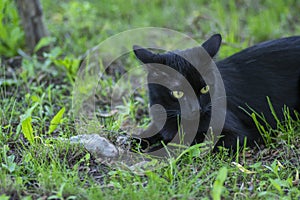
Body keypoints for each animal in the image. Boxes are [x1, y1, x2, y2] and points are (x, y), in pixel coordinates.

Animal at [132, 34, 300, 152]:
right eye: (177, 93)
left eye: (205, 89)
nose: (196, 109)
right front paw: (133, 141)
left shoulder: (237, 135)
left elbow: (188, 143)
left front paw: (157, 149)